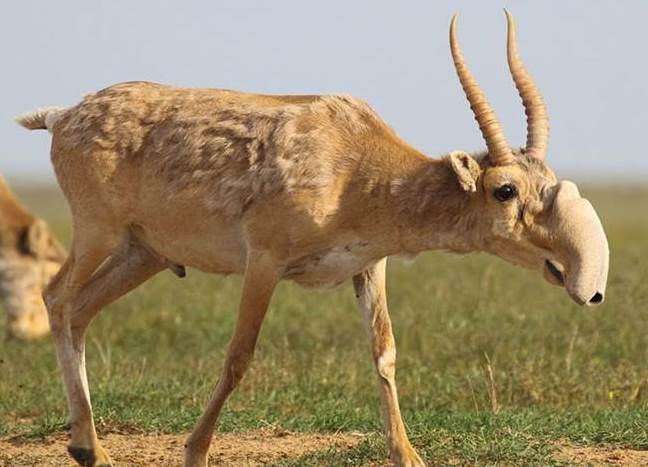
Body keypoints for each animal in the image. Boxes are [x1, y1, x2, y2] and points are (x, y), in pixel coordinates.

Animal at [16, 10, 608, 467]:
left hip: (144, 254)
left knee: (82, 310)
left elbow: (384, 351)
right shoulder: (264, 261)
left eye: (548, 181)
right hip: (99, 232)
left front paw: (408, 455)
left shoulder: (369, 265)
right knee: (58, 298)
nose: (576, 275)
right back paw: (90, 446)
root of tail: (64, 115)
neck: (356, 165)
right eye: (505, 190)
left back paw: (89, 448)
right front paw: (195, 451)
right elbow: (239, 354)